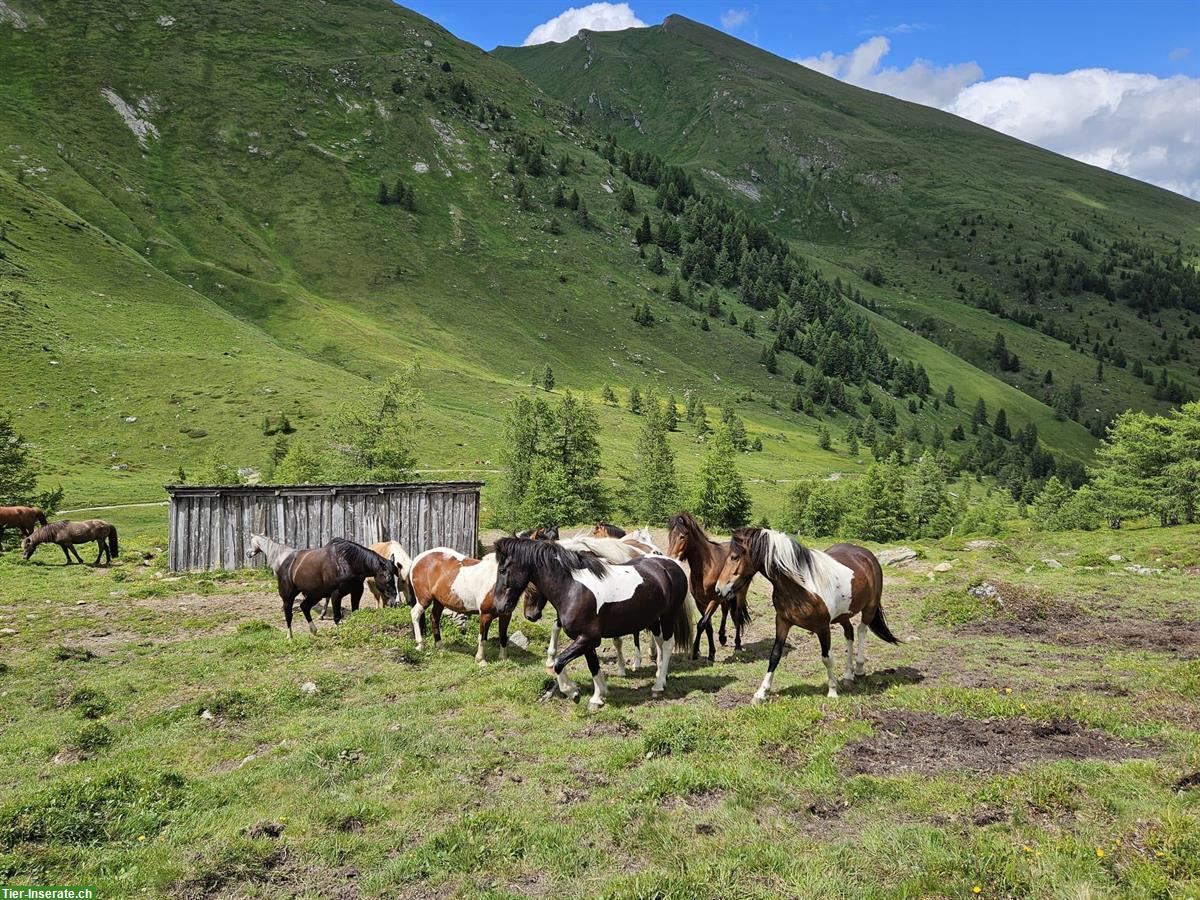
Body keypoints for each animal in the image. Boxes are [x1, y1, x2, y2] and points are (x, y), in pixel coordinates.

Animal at [248, 535, 398, 643]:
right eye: (387, 577)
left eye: (395, 575)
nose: (393, 601)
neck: (347, 562)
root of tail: (285, 563)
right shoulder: (336, 594)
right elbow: (337, 617)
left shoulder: (357, 592)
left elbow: (355, 612)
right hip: (288, 596)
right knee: (288, 614)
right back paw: (290, 637)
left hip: (315, 595)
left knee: (304, 607)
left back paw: (313, 630)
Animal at [487, 535, 696, 710]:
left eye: (502, 570)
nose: (500, 606)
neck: (573, 588)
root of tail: (670, 564)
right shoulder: (586, 640)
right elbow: (593, 665)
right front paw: (598, 696)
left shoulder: (588, 638)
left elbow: (559, 662)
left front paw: (572, 692)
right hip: (652, 619)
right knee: (660, 644)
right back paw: (661, 675)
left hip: (668, 616)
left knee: (667, 645)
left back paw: (658, 686)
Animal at [667, 513, 748, 662]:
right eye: (670, 536)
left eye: (682, 536)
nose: (671, 559)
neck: (706, 568)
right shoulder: (700, 602)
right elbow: (707, 626)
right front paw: (710, 653)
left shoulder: (713, 601)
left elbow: (701, 624)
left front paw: (695, 651)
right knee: (725, 611)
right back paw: (722, 637)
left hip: (740, 594)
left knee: (737, 616)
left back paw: (738, 645)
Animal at [710, 528, 902, 705]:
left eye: (734, 557)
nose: (719, 589)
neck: (801, 585)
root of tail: (867, 555)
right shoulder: (783, 621)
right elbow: (775, 655)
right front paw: (761, 693)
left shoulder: (823, 627)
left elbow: (827, 658)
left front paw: (832, 690)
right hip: (843, 615)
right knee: (850, 633)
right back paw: (848, 676)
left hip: (869, 607)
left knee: (862, 630)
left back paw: (859, 669)